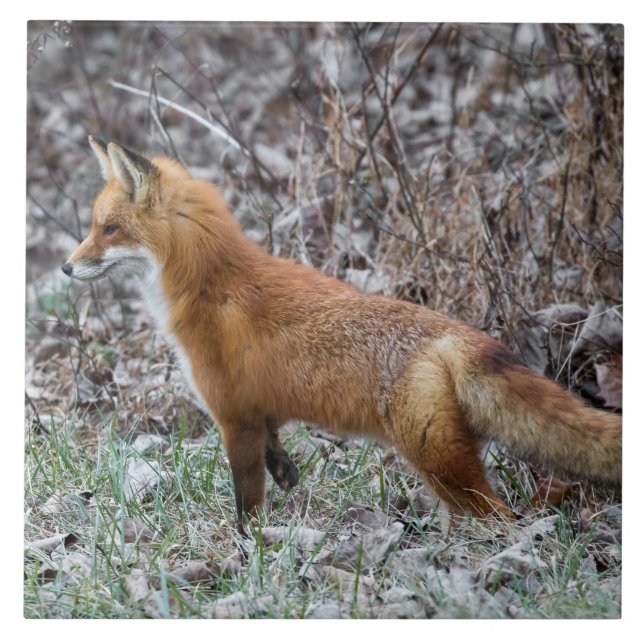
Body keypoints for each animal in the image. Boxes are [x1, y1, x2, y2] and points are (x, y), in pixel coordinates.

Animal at [62, 136, 621, 525]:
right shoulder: (258, 410)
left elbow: (247, 499)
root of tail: (458, 334)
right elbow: (276, 452)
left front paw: (248, 546)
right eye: (94, 226)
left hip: (438, 461)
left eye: (108, 229)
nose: (66, 268)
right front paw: (288, 477)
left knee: (499, 516)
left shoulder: (233, 417)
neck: (210, 281)